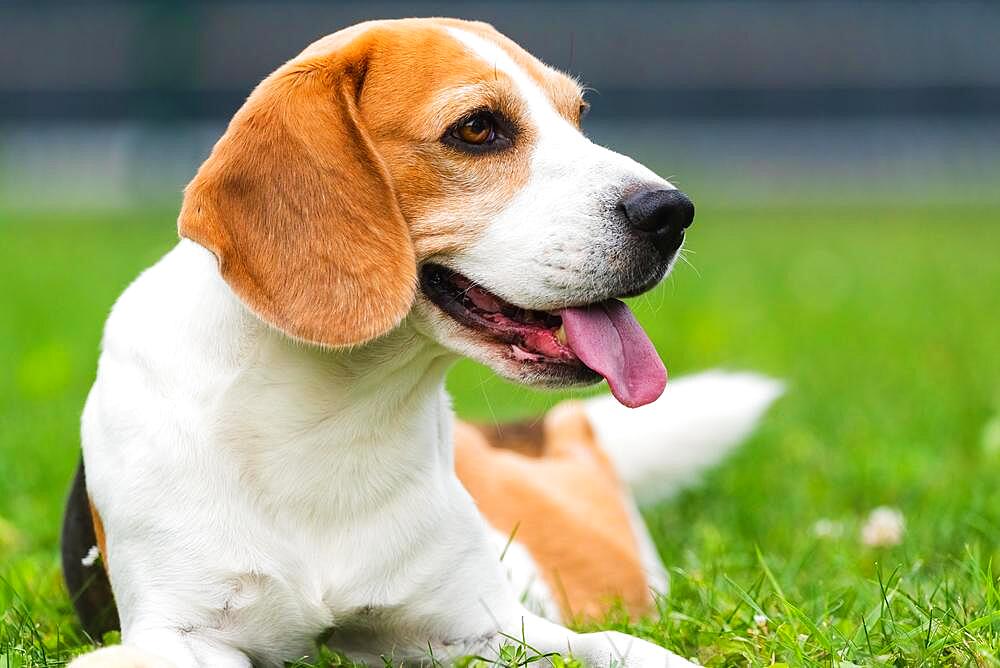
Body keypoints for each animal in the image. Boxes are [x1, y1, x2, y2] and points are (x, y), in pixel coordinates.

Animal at [64, 18, 780, 664]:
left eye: (577, 116)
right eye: (477, 128)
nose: (672, 213)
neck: (335, 417)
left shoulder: (491, 628)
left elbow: (626, 647)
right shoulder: (183, 632)